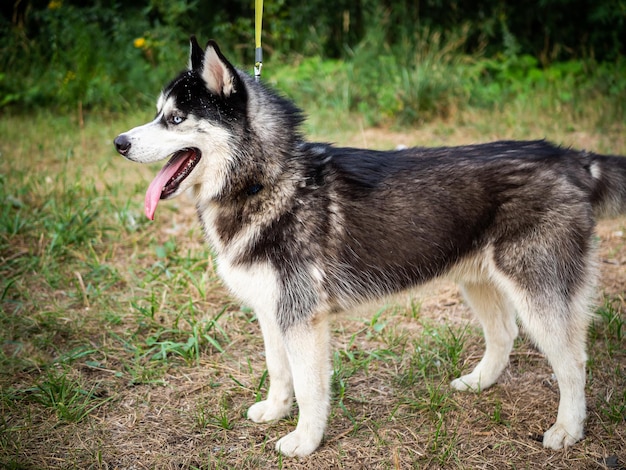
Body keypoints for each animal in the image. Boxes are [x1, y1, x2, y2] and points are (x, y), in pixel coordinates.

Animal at [114, 38, 624, 458]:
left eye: (175, 119)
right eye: (158, 113)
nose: (119, 142)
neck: (268, 180)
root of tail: (571, 157)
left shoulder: (302, 317)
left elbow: (309, 387)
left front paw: (304, 439)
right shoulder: (271, 310)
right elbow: (279, 371)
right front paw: (276, 410)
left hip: (536, 289)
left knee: (573, 361)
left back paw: (568, 428)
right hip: (477, 279)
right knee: (504, 334)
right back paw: (480, 382)